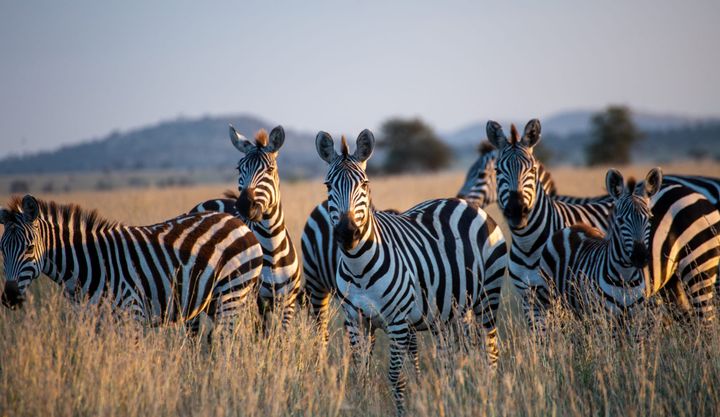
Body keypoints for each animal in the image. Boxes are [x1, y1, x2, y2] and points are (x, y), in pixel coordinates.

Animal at [0, 194, 263, 335]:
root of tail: (237, 221)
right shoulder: (91, 322)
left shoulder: (131, 315)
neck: (90, 264)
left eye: (29, 248)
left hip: (232, 293)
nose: (9, 297)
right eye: (1, 250)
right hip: (213, 300)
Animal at [189, 125, 302, 330]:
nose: (243, 205)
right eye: (239, 168)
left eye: (270, 169)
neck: (272, 247)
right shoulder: (254, 302)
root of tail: (210, 201)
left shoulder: (287, 303)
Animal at [315, 129, 507, 416]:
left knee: (490, 350)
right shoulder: (355, 321)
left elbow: (396, 376)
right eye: (328, 186)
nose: (348, 233)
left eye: (365, 185)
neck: (358, 267)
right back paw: (455, 396)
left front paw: (402, 411)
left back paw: (490, 395)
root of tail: (468, 204)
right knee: (452, 357)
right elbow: (361, 374)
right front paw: (363, 405)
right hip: (451, 312)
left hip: (488, 296)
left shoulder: (397, 322)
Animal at [536, 168, 661, 334]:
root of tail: (572, 227)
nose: (640, 256)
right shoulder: (604, 319)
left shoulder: (637, 319)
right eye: (620, 221)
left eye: (650, 219)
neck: (625, 277)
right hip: (549, 299)